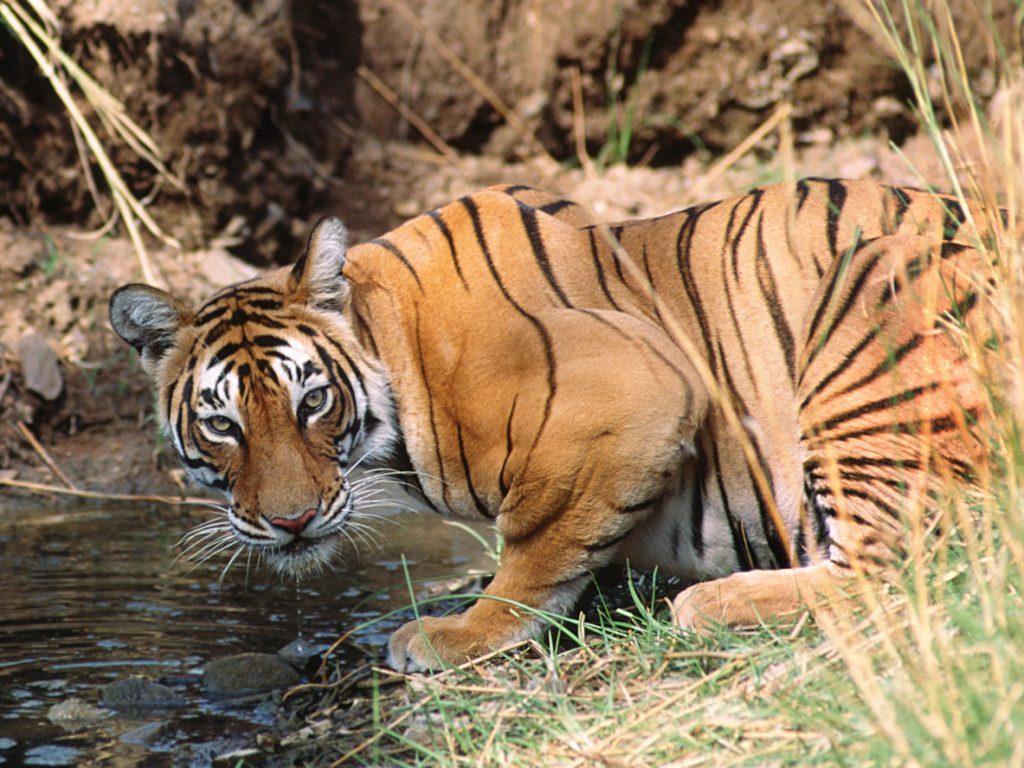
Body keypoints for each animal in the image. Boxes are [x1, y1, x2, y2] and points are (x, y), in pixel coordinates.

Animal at [109, 178, 996, 672]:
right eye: (223, 426)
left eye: (312, 402)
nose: (291, 522)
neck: (396, 343)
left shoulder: (638, 391)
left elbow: (535, 545)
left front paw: (461, 633)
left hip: (872, 292)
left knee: (900, 567)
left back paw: (708, 603)